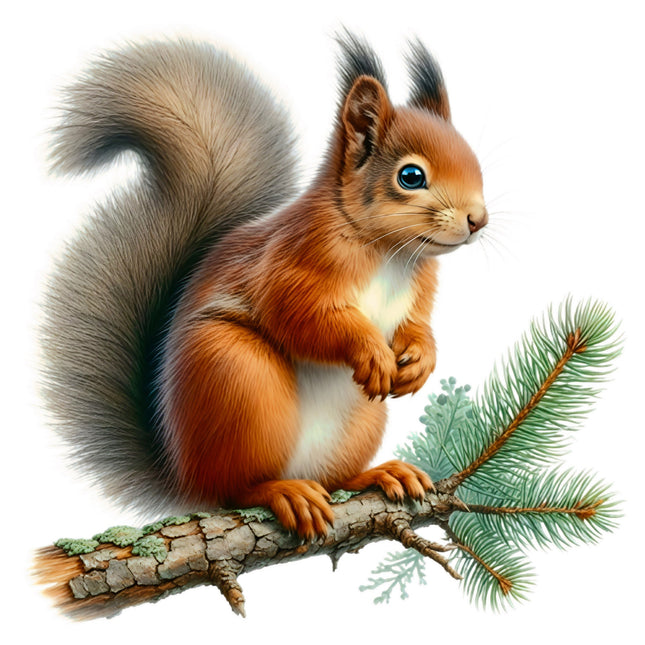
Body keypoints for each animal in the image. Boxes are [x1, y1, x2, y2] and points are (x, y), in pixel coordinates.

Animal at [41, 32, 487, 540]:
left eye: (474, 159)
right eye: (411, 176)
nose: (478, 219)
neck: (390, 254)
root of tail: (184, 474)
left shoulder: (419, 291)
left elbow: (417, 325)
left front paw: (420, 360)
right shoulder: (290, 264)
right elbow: (300, 318)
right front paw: (371, 351)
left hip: (357, 423)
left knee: (332, 480)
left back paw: (379, 474)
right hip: (237, 375)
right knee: (235, 489)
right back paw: (283, 492)